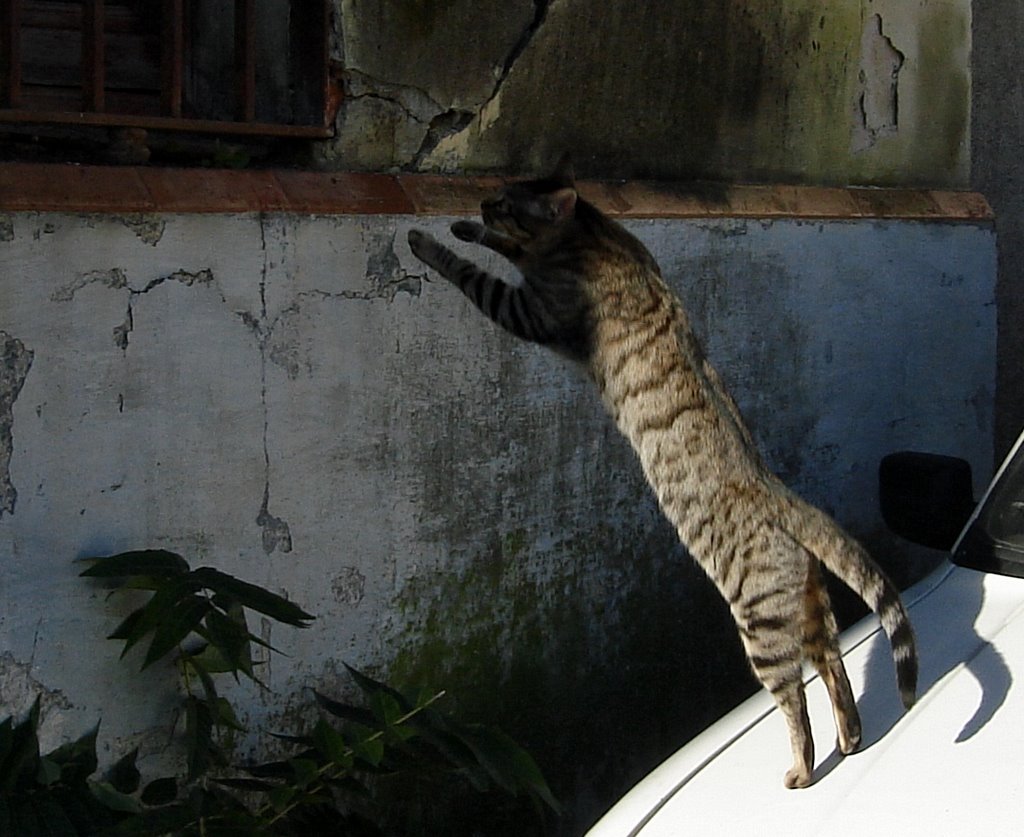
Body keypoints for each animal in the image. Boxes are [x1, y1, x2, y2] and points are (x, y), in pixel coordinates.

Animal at [407, 153, 921, 786]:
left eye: (504, 201)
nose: (481, 204)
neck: (593, 239)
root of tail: (780, 495)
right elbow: (498, 250)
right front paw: (464, 230)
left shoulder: (532, 311)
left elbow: (474, 274)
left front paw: (432, 242)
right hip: (809, 609)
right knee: (834, 665)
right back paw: (850, 739)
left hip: (760, 625)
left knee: (795, 699)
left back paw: (802, 769)